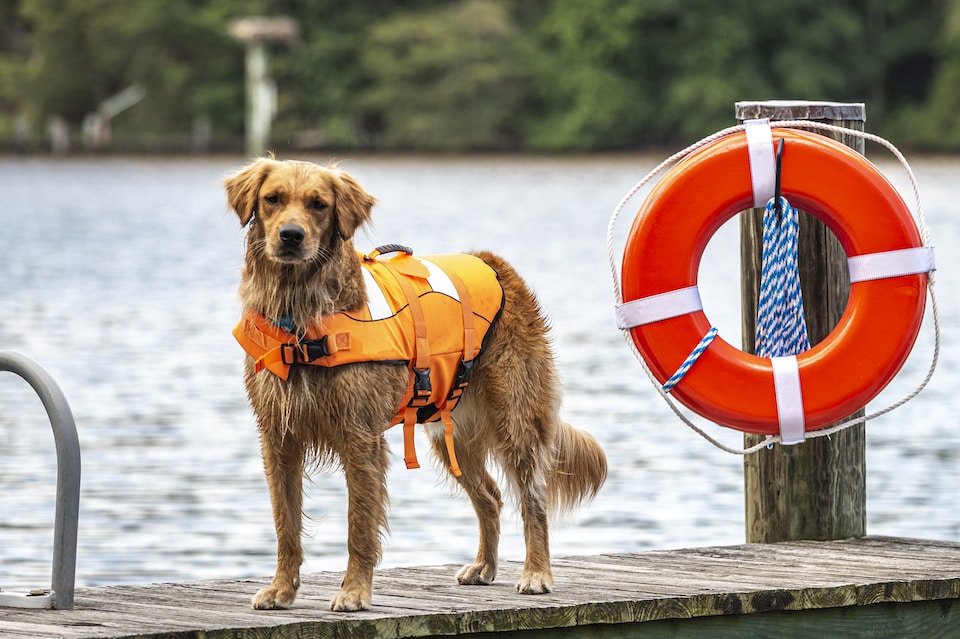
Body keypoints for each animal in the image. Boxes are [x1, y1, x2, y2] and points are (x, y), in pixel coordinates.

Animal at [225, 158, 608, 612]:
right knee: (491, 496)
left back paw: (536, 573)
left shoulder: (360, 436)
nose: (291, 236)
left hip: (516, 417)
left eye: (319, 204)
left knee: (533, 499)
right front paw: (281, 589)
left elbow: (359, 526)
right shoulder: (278, 436)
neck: (300, 314)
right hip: (450, 430)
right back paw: (484, 566)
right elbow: (285, 523)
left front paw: (354, 591)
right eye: (272, 199)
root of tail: (497, 264)